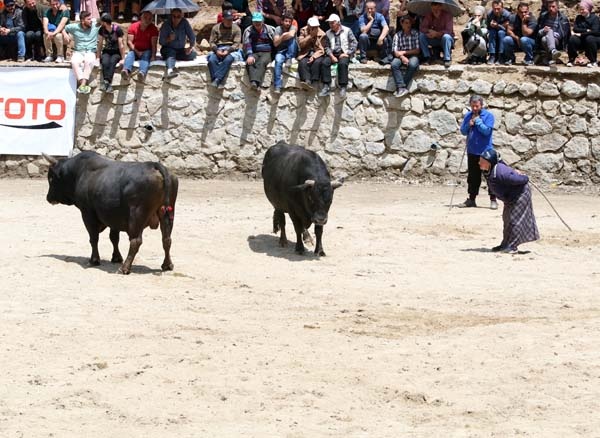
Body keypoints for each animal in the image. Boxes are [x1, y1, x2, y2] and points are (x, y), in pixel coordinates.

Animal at [44, 151, 178, 274]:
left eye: (51, 178)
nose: (48, 198)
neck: (78, 173)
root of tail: (153, 165)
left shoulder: (87, 213)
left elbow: (93, 238)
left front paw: (94, 260)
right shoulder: (114, 217)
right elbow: (114, 238)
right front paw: (116, 257)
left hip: (137, 216)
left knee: (135, 241)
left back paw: (125, 268)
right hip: (167, 214)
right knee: (167, 239)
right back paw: (167, 265)